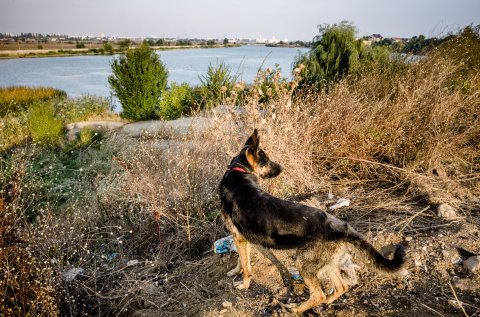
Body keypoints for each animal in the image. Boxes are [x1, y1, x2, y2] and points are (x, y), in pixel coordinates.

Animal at [219, 129, 406, 314]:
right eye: (267, 161)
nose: (283, 168)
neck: (240, 171)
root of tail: (341, 226)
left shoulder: (239, 238)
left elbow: (246, 266)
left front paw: (244, 284)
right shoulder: (242, 238)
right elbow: (242, 261)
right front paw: (235, 271)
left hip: (303, 263)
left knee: (318, 294)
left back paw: (294, 308)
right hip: (327, 263)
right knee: (341, 286)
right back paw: (327, 301)